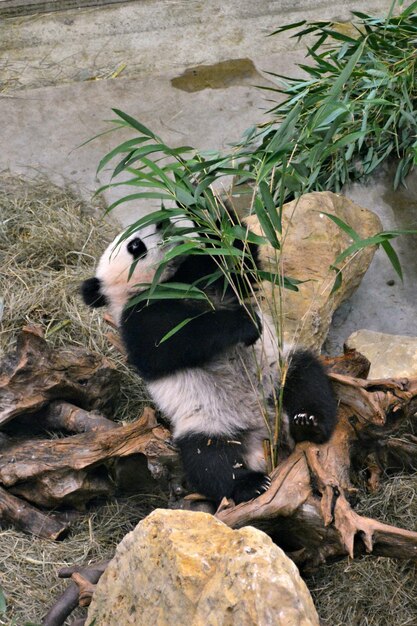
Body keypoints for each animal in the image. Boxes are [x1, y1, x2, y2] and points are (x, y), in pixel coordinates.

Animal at [79, 214, 336, 502]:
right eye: (134, 245)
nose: (162, 223)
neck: (168, 283)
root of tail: (265, 431)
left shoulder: (201, 273)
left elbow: (239, 262)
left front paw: (207, 214)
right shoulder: (138, 318)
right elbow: (169, 344)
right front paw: (243, 325)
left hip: (277, 372)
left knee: (307, 379)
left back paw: (309, 423)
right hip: (207, 422)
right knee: (209, 460)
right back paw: (251, 484)